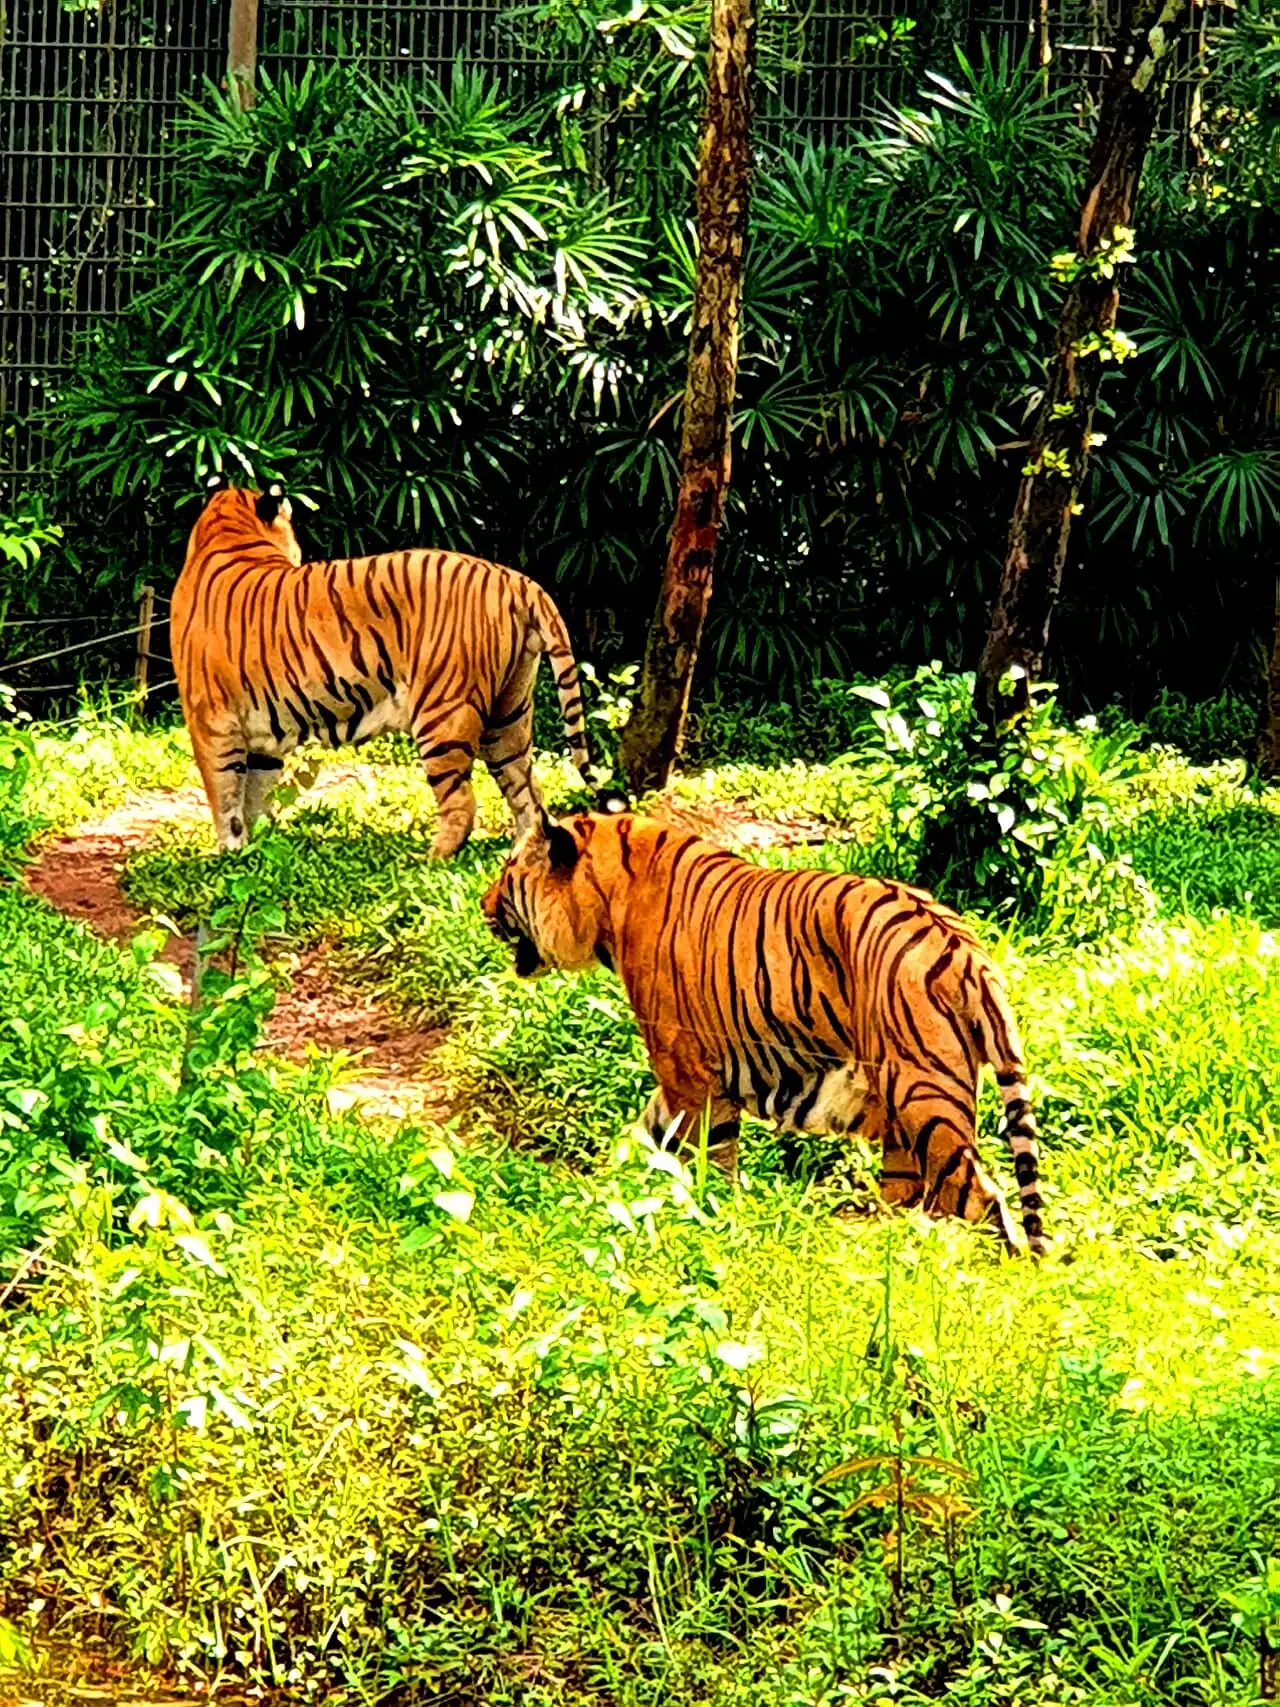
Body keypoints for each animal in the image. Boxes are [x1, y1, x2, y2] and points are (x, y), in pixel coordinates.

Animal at [171, 476, 594, 857]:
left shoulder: (210, 722)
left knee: (463, 802)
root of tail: (517, 580)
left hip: (443, 714)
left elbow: (225, 797)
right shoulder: (260, 733)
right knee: (529, 793)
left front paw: (227, 856)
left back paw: (431, 860)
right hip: (508, 715)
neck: (228, 534)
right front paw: (252, 852)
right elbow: (254, 796)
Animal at [482, 808, 1047, 1256]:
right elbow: (645, 1133)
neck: (606, 900)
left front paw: (706, 1214)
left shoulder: (686, 1070)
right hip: (906, 1119)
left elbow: (705, 1156)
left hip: (921, 1096)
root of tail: (965, 951)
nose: (484, 906)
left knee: (979, 1195)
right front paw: (604, 1194)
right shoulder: (684, 1082)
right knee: (916, 1193)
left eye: (508, 871)